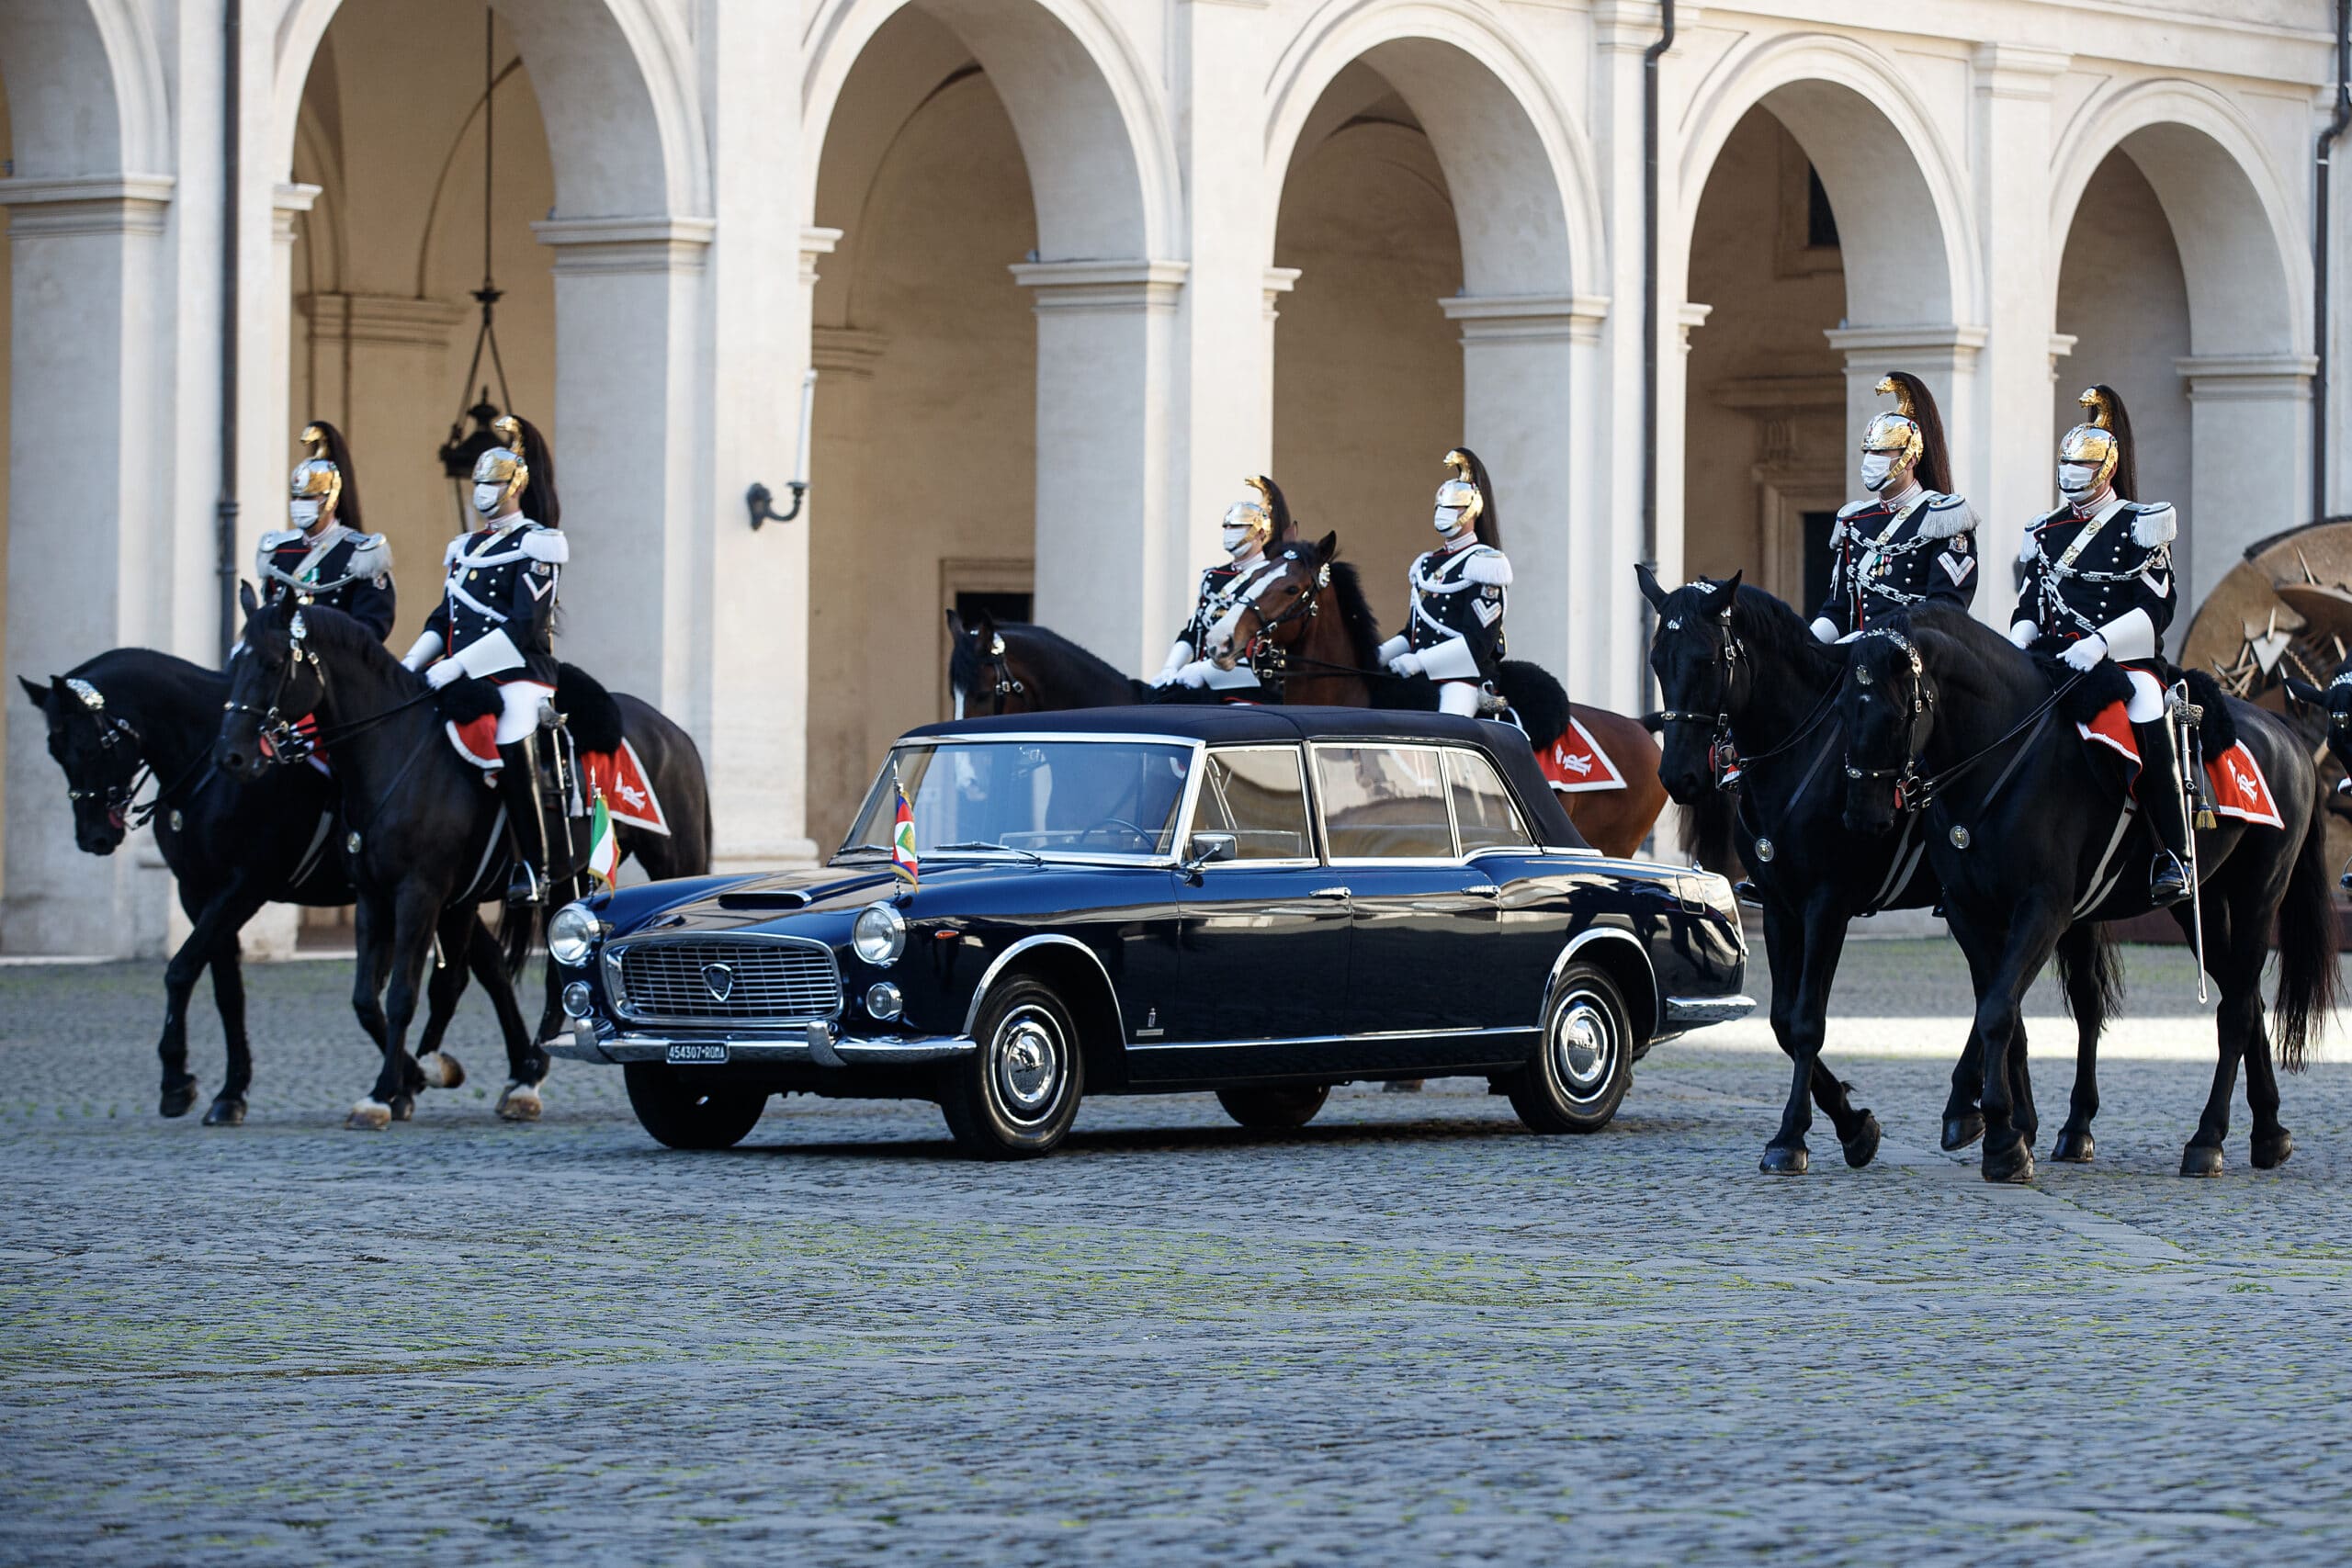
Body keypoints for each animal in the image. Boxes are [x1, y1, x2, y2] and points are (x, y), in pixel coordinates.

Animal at [19, 649, 519, 1128]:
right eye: (54, 750)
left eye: (89, 746)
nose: (94, 838)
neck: (211, 765)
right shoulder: (197, 892)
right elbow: (227, 991)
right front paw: (230, 1092)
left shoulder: (244, 887)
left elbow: (181, 969)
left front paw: (177, 1080)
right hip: (446, 896)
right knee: (488, 968)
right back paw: (512, 1072)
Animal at [1636, 570, 2117, 1170]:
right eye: (1656, 659)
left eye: (1705, 659)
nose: (1677, 776)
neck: (1797, 753)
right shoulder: (1780, 905)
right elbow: (1781, 1021)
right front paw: (1852, 1123)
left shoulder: (1827, 905)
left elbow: (1806, 1022)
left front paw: (1796, 1136)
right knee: (2007, 996)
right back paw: (1989, 1114)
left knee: (2080, 998)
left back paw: (2067, 1125)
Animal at [1853, 606, 2333, 1184]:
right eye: (1845, 703)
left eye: (1896, 709)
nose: (1867, 814)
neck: (2002, 753)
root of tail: (2286, 734)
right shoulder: (1971, 913)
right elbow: (2006, 1010)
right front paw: (2005, 1126)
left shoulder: (2044, 909)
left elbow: (1997, 1010)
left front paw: (2002, 1140)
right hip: (2204, 906)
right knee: (2245, 998)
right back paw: (2268, 1133)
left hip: (2259, 895)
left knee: (2237, 1010)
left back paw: (2207, 1140)